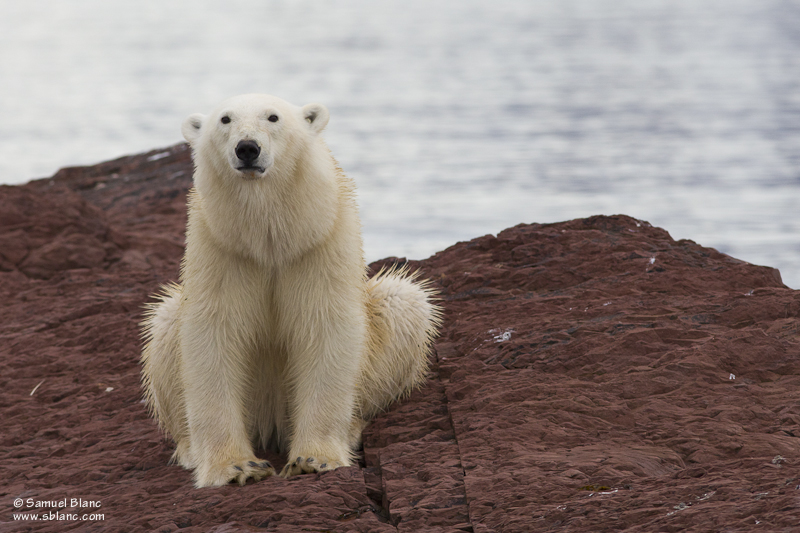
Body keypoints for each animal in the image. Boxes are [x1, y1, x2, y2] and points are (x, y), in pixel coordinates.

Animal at [141, 92, 440, 486]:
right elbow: (213, 333)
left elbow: (326, 327)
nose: (247, 148)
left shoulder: (318, 242)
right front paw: (237, 468)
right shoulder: (223, 246)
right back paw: (190, 447)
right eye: (225, 119)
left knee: (404, 301)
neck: (270, 237)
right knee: (164, 324)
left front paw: (313, 459)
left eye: (273, 117)